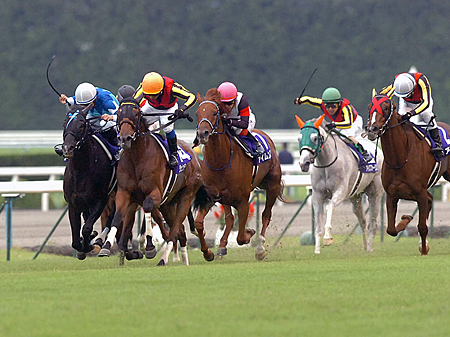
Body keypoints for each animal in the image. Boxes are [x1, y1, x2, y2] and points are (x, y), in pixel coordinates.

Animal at [61, 106, 118, 258]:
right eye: (64, 123)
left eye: (81, 125)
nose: (67, 148)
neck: (81, 172)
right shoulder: (73, 204)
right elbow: (76, 237)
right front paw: (82, 246)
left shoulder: (100, 200)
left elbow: (86, 228)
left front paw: (88, 246)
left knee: (113, 216)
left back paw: (101, 243)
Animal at [98, 98, 213, 264]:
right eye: (119, 112)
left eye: (136, 113)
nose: (125, 138)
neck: (137, 157)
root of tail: (196, 158)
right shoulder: (124, 193)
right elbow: (118, 215)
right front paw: (106, 245)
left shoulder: (155, 193)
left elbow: (147, 209)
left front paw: (150, 247)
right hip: (168, 204)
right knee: (180, 231)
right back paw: (185, 260)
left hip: (186, 197)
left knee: (175, 230)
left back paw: (165, 258)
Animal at [194, 87, 284, 260]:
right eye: (197, 113)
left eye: (214, 113)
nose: (202, 133)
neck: (220, 162)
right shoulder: (211, 196)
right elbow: (199, 224)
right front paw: (208, 253)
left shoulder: (243, 200)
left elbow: (241, 237)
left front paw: (250, 233)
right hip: (225, 198)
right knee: (229, 219)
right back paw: (222, 246)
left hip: (273, 186)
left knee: (266, 215)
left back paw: (260, 247)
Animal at [296, 115, 384, 252]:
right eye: (299, 138)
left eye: (314, 138)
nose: (303, 163)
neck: (326, 164)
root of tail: (378, 150)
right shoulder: (317, 195)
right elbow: (318, 224)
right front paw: (317, 250)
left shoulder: (340, 192)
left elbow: (329, 206)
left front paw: (328, 238)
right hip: (355, 197)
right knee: (363, 220)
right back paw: (365, 247)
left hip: (375, 193)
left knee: (373, 223)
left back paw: (369, 248)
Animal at [366, 93, 450, 253]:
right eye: (369, 107)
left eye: (386, 108)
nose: (372, 129)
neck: (400, 158)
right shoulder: (392, 194)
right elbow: (391, 229)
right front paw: (406, 219)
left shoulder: (420, 193)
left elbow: (422, 227)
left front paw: (424, 249)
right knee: (430, 199)